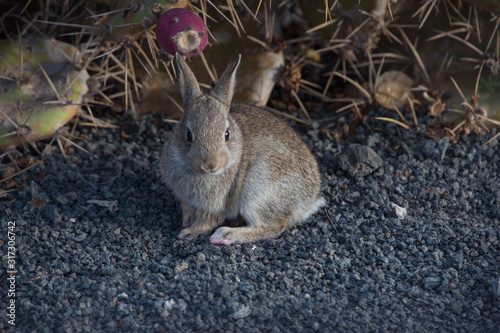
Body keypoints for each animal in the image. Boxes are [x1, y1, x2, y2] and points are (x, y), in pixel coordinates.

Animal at [160, 53, 324, 244]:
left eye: (227, 134)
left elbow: (207, 221)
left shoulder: (218, 204)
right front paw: (187, 221)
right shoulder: (185, 199)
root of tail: (307, 203)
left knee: (274, 226)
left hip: (257, 191)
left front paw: (190, 232)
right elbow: (187, 209)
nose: (211, 165)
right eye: (188, 135)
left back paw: (226, 235)